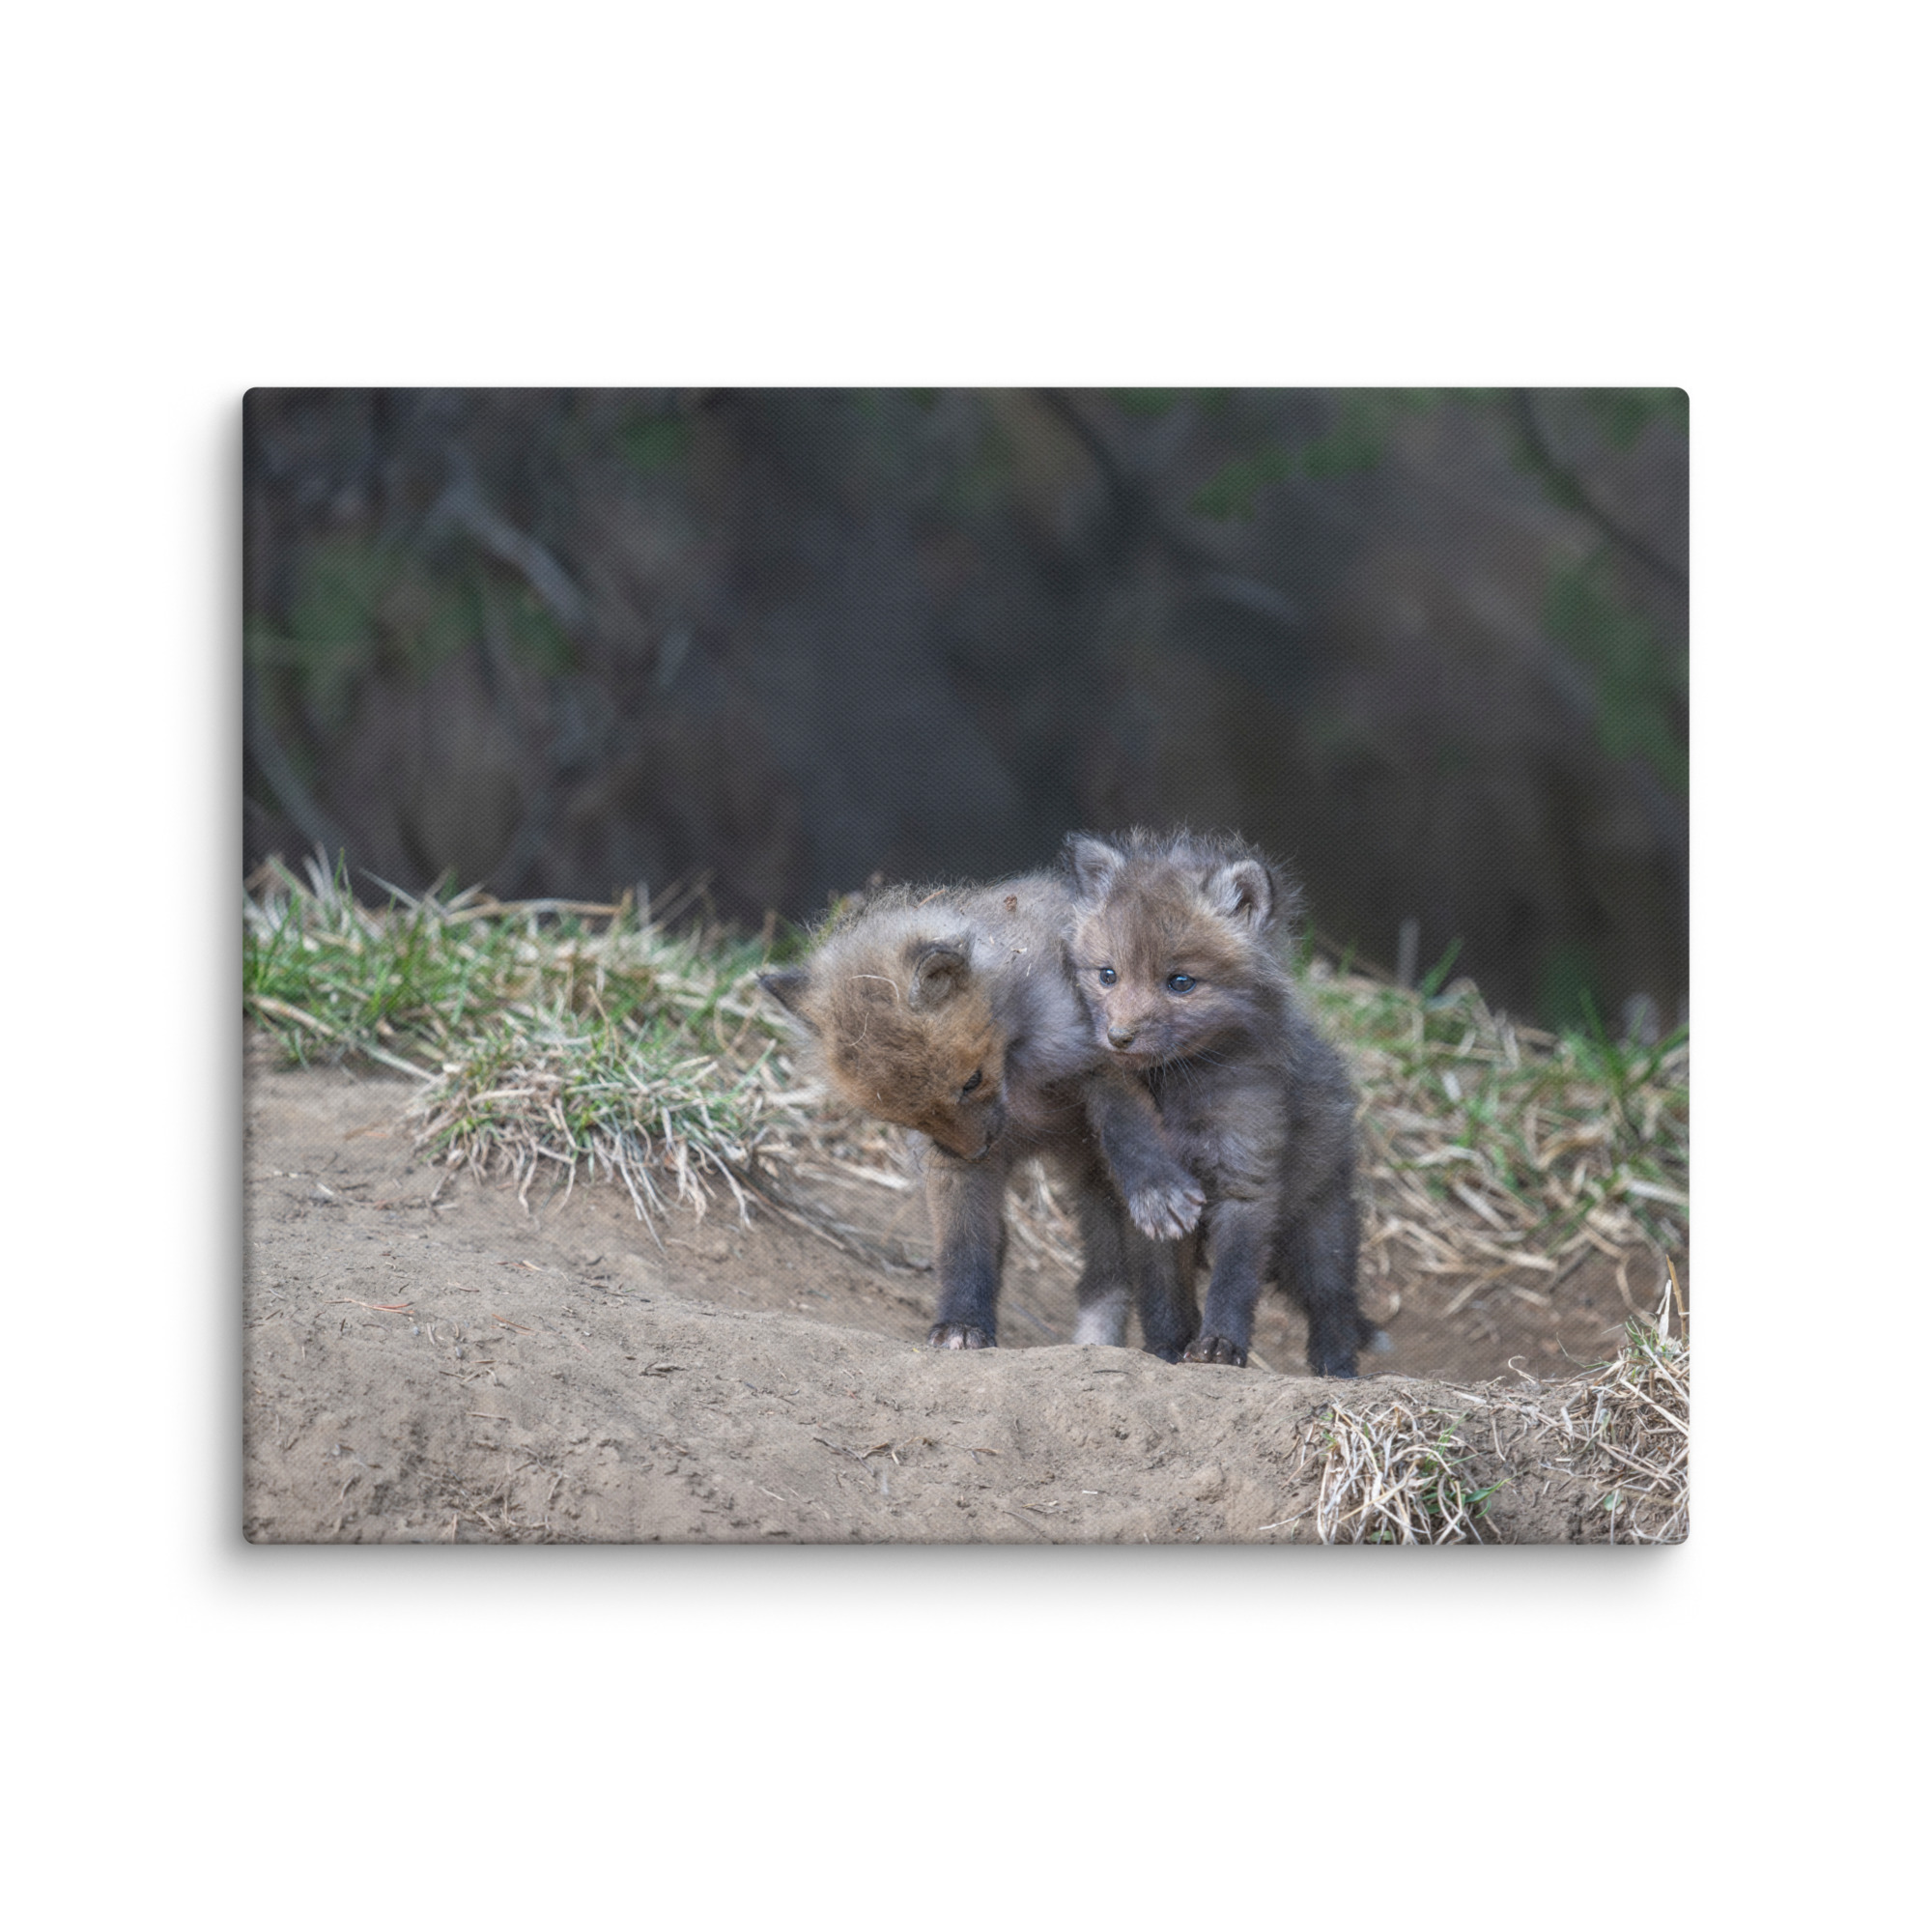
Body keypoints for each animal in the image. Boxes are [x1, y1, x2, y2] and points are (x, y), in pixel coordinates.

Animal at [759, 871, 1205, 1355]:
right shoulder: (948, 1164)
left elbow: (1129, 1131)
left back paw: (1171, 1346)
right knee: (1102, 1274)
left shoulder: (1103, 1059)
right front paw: (962, 1323)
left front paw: (1156, 1189)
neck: (1019, 1076)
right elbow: (963, 1246)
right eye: (906, 1117)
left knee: (1154, 1274)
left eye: (971, 1081)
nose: (976, 1151)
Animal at [1062, 827, 1376, 1377]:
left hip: (1319, 1229)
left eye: (1180, 982)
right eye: (1107, 975)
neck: (1179, 1092)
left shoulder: (1246, 1180)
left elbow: (1233, 1281)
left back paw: (1337, 1372)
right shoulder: (1152, 1209)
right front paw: (1166, 1350)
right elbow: (1163, 1292)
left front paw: (1219, 1347)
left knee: (1333, 1301)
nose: (1118, 1037)